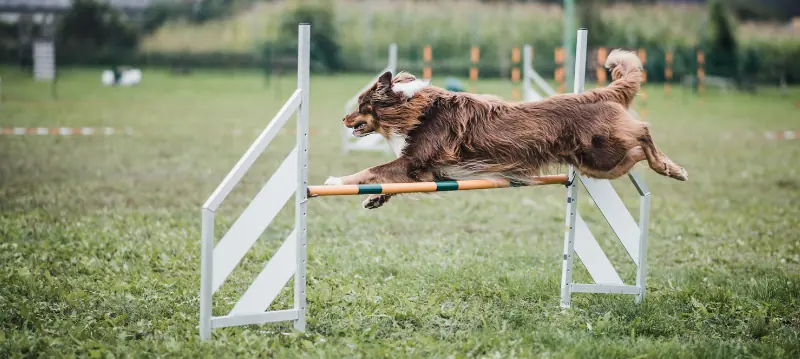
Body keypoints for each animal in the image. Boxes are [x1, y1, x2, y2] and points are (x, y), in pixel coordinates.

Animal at [324, 49, 688, 210]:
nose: (341, 120)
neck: (421, 110)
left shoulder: (416, 160)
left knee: (643, 130)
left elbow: (373, 169)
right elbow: (390, 179)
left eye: (361, 105)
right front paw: (376, 198)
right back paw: (669, 168)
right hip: (599, 165)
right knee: (637, 152)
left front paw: (336, 181)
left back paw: (672, 167)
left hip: (604, 149)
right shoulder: (430, 172)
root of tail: (596, 93)